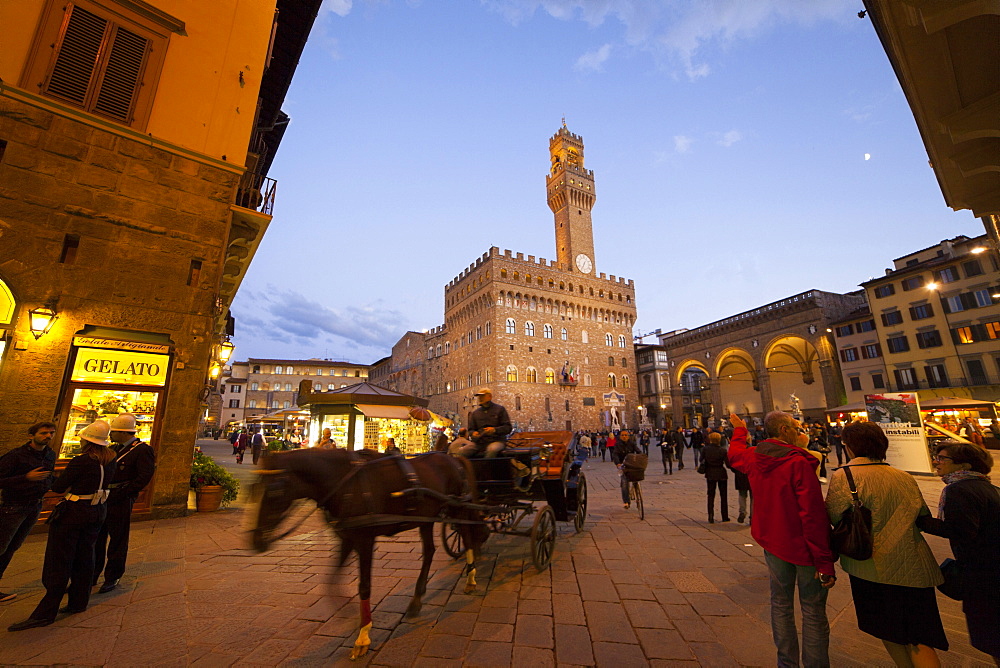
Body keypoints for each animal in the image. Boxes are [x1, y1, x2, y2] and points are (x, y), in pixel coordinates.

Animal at [248, 446, 486, 660]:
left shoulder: (365, 540)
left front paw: (363, 637)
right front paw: (355, 616)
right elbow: (331, 581)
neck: (344, 483)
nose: (255, 540)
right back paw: (417, 600)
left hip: (457, 508)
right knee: (429, 552)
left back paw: (471, 579)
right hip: (425, 517)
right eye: (253, 488)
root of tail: (453, 457)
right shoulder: (346, 538)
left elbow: (364, 586)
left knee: (467, 536)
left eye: (274, 491)